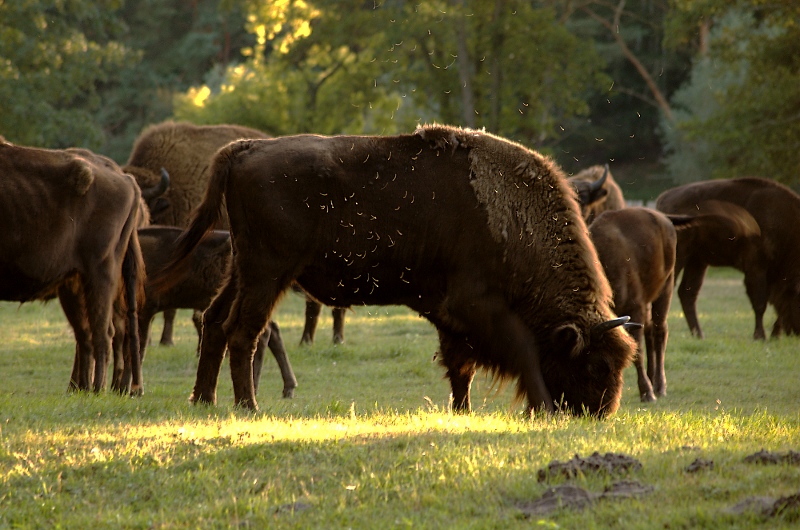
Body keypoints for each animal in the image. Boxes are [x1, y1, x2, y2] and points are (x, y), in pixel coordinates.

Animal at [0, 142, 146, 390]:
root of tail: (125, 179)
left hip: (101, 273)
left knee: (104, 333)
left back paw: (98, 389)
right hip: (75, 283)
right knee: (87, 335)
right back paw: (85, 389)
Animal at [161, 126, 636, 414]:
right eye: (596, 366)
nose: (600, 413)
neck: (511, 219)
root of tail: (246, 148)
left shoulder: (451, 317)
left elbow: (460, 366)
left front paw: (460, 411)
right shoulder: (480, 307)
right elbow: (522, 354)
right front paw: (540, 407)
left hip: (242, 270)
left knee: (214, 321)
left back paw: (204, 400)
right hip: (267, 272)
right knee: (243, 331)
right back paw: (248, 407)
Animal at [588, 206, 680, 400]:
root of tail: (663, 219)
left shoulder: (635, 307)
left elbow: (637, 351)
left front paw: (646, 392)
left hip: (666, 286)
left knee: (660, 331)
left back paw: (659, 386)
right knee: (650, 330)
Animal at [656, 177, 800, 338]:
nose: (796, 331)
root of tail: (663, 198)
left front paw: (774, 335)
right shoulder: (756, 268)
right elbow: (760, 302)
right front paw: (760, 336)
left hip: (697, 260)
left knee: (687, 293)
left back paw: (699, 335)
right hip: (680, 256)